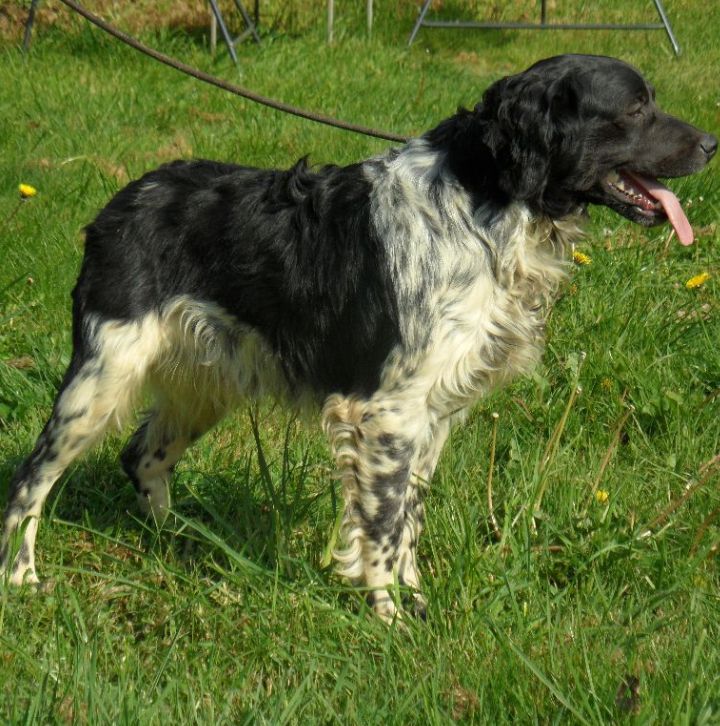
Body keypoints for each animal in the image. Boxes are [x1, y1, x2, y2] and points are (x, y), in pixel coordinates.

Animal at [1, 52, 716, 620]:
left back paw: (176, 543)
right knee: (30, 479)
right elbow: (382, 522)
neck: (483, 202)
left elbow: (409, 518)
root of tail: (119, 202)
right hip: (101, 378)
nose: (711, 143)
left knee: (141, 457)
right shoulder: (386, 411)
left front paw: (414, 598)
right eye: (636, 108)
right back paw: (23, 576)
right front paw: (389, 614)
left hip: (206, 384)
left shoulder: (432, 414)